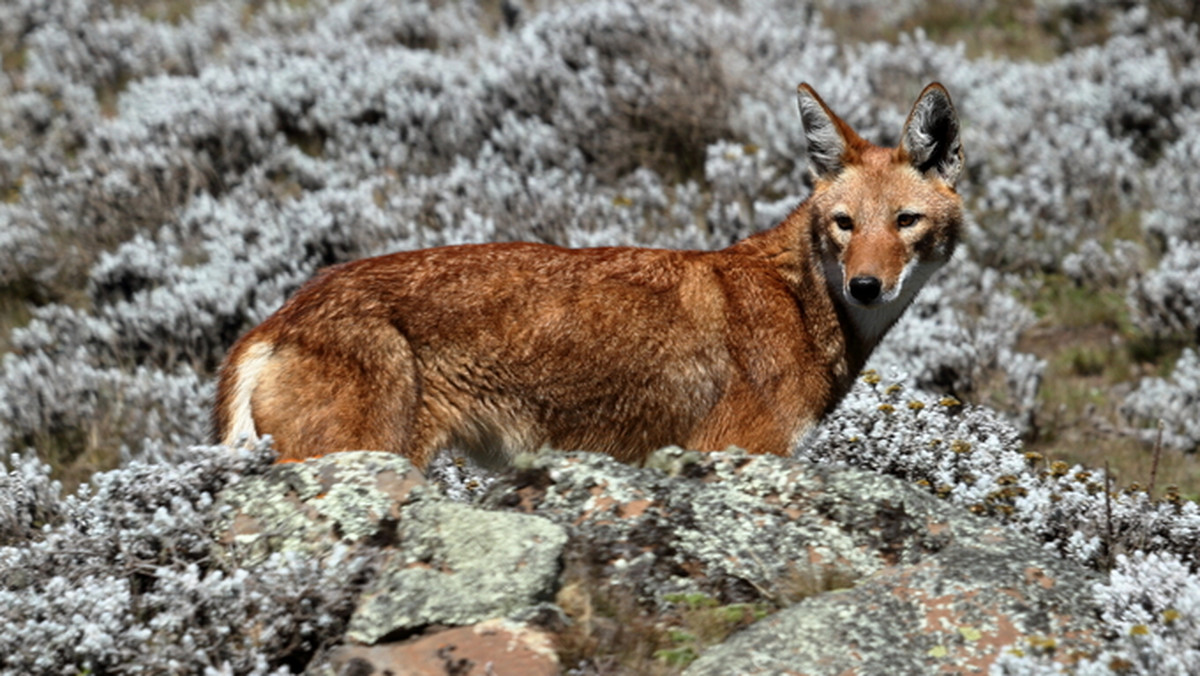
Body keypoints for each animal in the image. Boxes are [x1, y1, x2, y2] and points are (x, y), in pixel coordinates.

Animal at [216, 82, 964, 468]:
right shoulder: (730, 455)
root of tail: (281, 316)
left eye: (903, 222)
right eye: (844, 224)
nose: (866, 285)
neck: (805, 305)